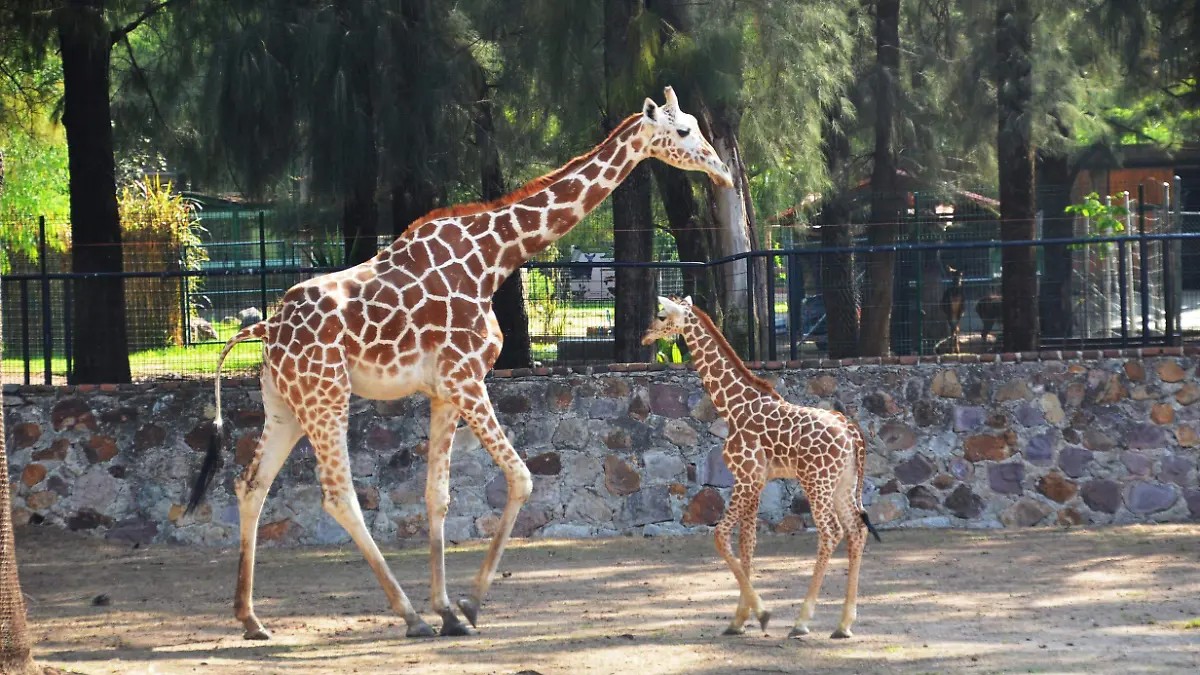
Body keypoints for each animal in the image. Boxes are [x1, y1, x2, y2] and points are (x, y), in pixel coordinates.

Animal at [186, 87, 734, 640]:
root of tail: (265, 328)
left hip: (285, 404)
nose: (724, 172)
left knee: (250, 484)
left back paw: (251, 618)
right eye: (683, 130)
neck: (494, 258)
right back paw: (407, 616)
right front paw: (468, 606)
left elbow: (438, 496)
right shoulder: (467, 377)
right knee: (338, 496)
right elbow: (522, 478)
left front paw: (448, 608)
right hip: (326, 396)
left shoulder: (444, 391)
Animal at [641, 296, 881, 639]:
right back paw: (844, 624)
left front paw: (761, 613)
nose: (645, 336)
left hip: (817, 482)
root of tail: (852, 433)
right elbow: (748, 542)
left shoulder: (746, 477)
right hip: (844, 485)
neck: (732, 406)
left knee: (831, 532)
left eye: (661, 316)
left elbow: (721, 536)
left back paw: (801, 622)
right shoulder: (755, 481)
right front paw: (739, 619)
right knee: (856, 530)